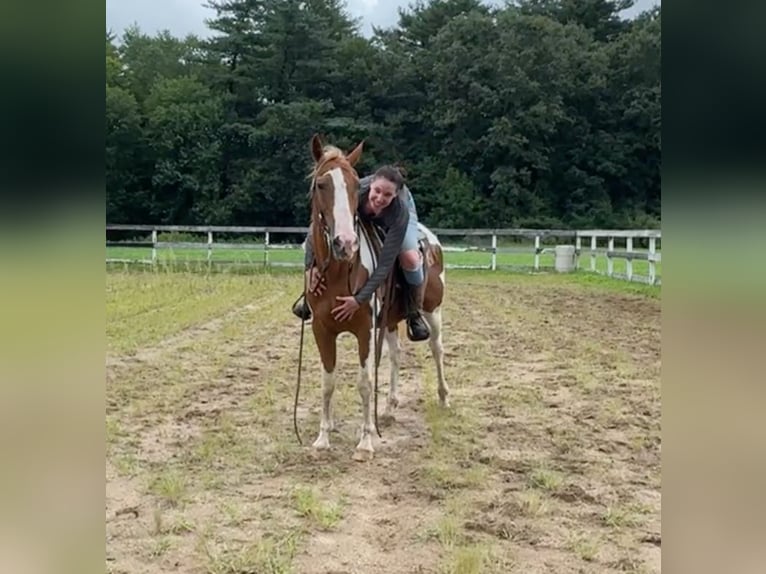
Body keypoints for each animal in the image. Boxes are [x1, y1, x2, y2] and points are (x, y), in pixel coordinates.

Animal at [304, 135, 450, 464]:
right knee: (396, 355)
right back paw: (389, 408)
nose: (346, 243)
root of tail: (430, 239)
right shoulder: (322, 330)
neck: (340, 271)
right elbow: (327, 382)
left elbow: (365, 381)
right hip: (391, 321)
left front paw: (365, 442)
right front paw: (322, 438)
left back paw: (444, 397)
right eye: (321, 184)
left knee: (437, 350)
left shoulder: (364, 330)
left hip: (433, 312)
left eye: (354, 183)